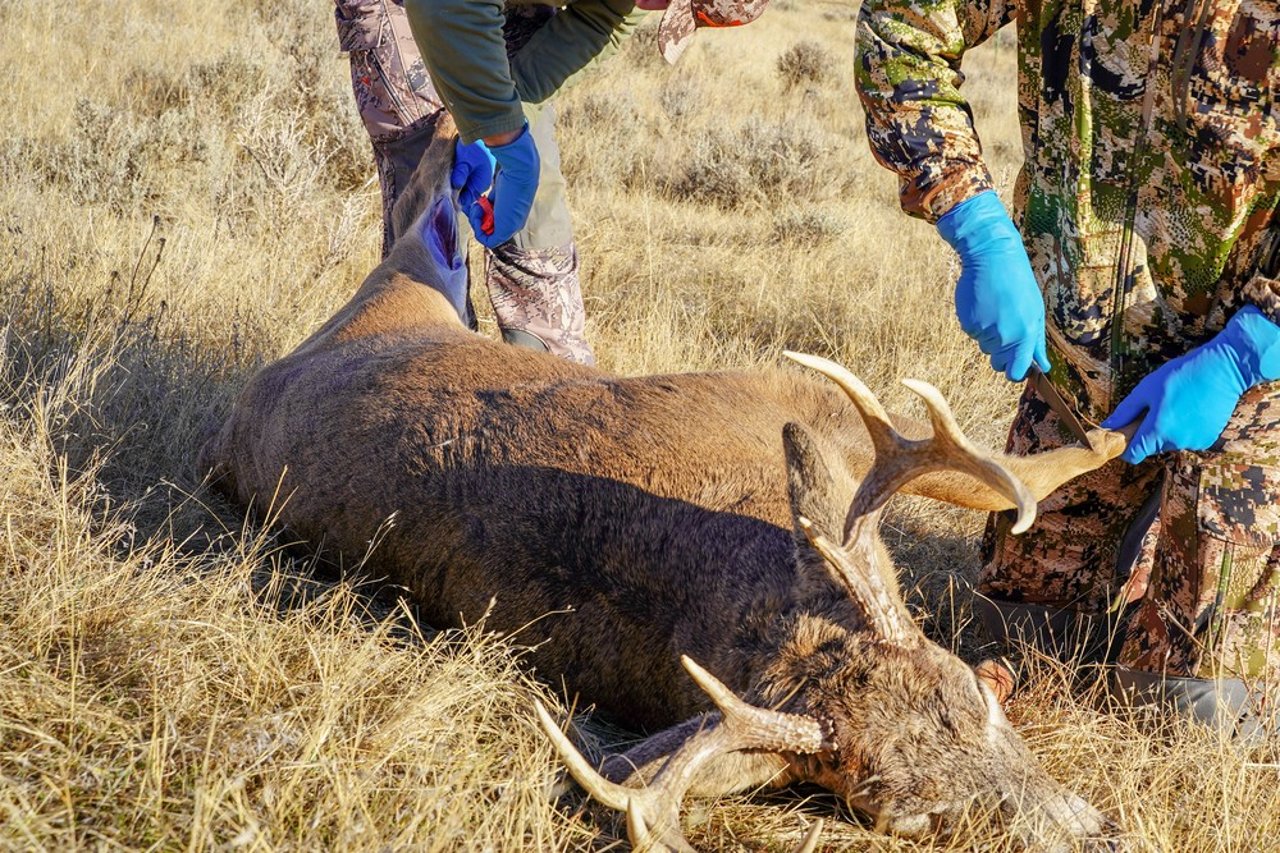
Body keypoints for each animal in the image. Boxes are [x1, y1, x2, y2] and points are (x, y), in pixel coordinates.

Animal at [199, 114, 1131, 850]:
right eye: (914, 818)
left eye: (976, 697)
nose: (1100, 834)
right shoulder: (795, 393)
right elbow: (1020, 475)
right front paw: (1119, 427)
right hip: (402, 287)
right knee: (422, 210)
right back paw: (450, 133)